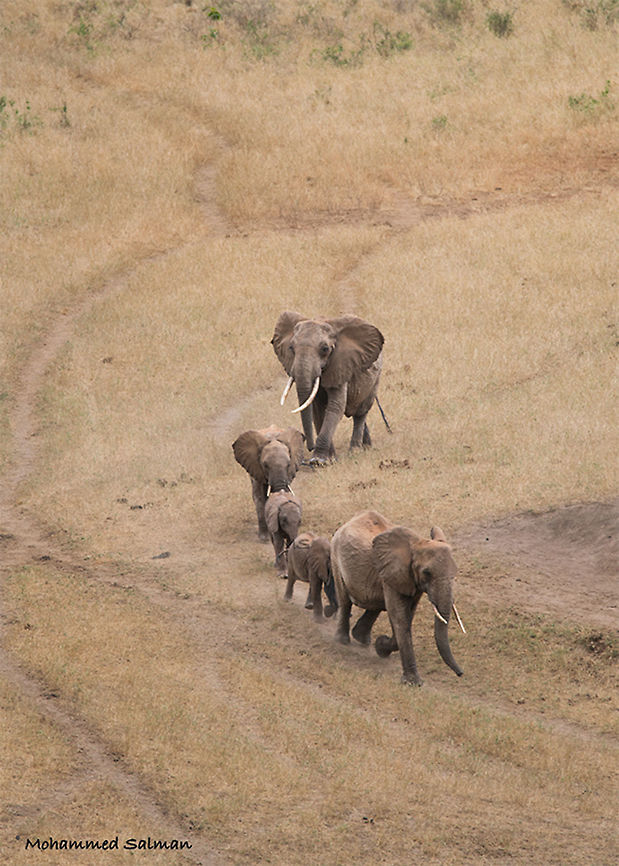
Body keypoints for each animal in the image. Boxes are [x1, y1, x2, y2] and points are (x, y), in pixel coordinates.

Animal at [272, 311, 385, 465]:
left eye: (325, 349)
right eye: (291, 348)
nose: (309, 446)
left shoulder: (340, 364)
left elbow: (335, 406)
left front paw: (319, 460)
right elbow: (317, 410)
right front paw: (328, 459)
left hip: (375, 378)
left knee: (361, 412)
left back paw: (355, 451)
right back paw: (367, 446)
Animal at [331, 510, 466, 686]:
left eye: (455, 572)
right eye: (427, 573)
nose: (460, 673)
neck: (417, 544)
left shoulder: (410, 581)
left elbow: (408, 615)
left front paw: (380, 646)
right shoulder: (394, 572)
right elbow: (400, 617)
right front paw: (413, 683)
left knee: (376, 605)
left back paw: (361, 638)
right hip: (336, 557)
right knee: (345, 601)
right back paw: (343, 641)